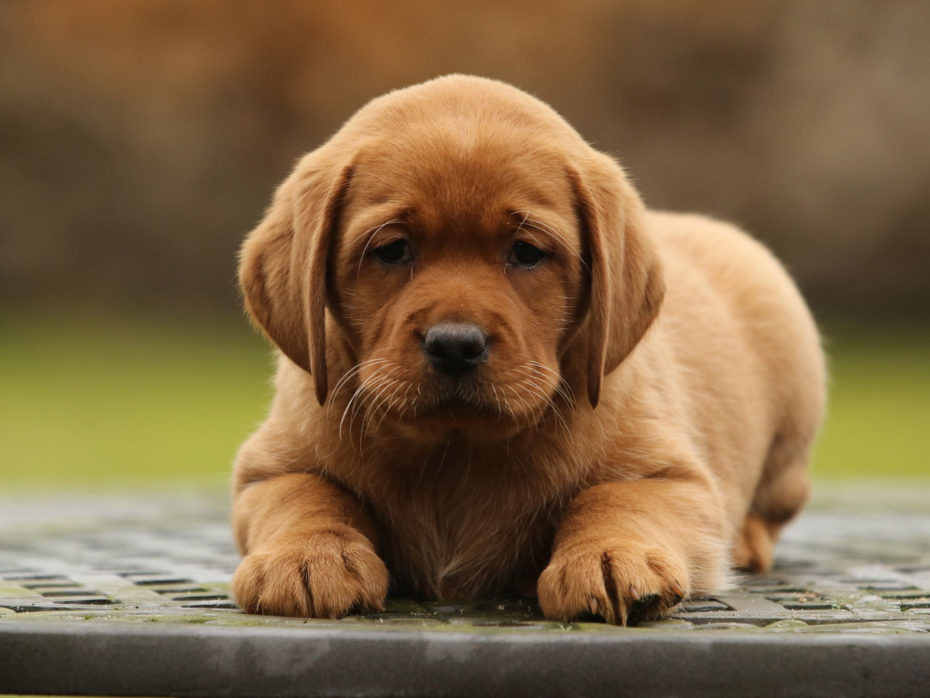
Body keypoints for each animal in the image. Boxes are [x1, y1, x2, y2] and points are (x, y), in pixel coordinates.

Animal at [228, 73, 824, 624]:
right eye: (393, 250)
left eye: (527, 252)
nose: (455, 346)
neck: (456, 452)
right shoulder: (266, 469)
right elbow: (305, 494)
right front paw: (307, 557)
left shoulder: (673, 476)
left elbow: (614, 497)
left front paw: (611, 555)